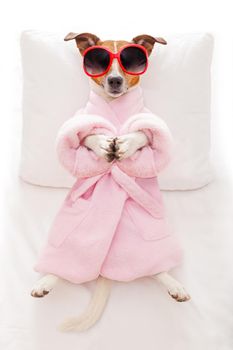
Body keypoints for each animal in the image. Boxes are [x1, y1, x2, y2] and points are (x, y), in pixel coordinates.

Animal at [31, 32, 190, 330]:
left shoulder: (152, 125)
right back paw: (45, 281)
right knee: (64, 265)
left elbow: (144, 132)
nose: (115, 80)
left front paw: (126, 143)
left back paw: (174, 285)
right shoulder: (76, 125)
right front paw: (102, 142)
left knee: (156, 267)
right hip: (68, 244)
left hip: (148, 245)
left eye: (130, 61)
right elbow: (85, 134)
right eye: (99, 61)